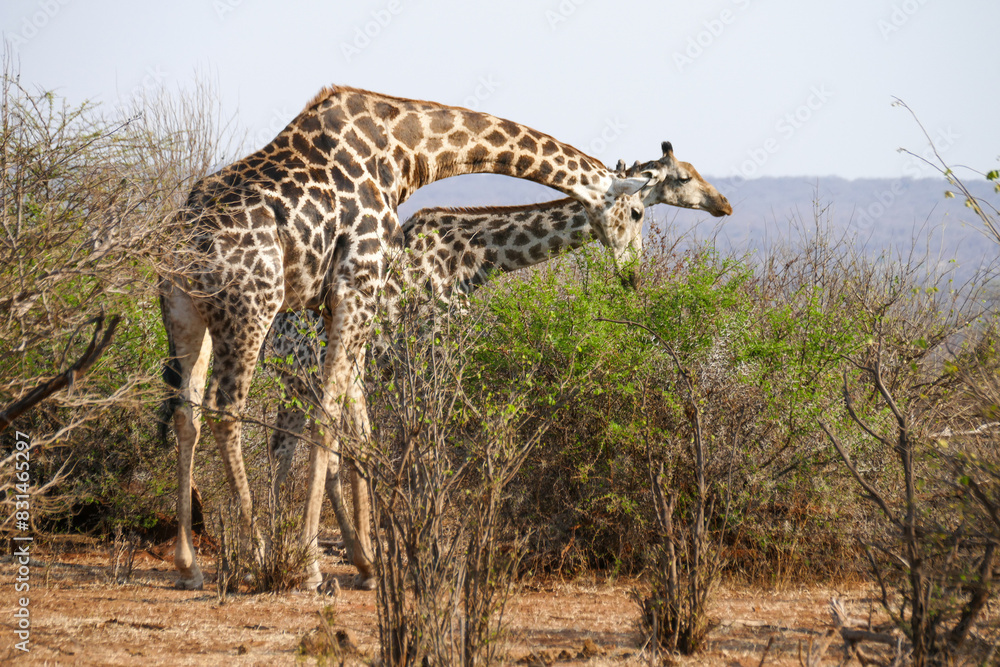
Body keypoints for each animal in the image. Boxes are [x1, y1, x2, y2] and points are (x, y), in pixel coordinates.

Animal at [159, 85, 656, 591]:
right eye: (637, 212)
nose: (633, 276)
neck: (406, 151)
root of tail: (183, 234)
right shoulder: (366, 289)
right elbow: (357, 425)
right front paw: (317, 565)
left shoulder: (344, 303)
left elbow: (360, 431)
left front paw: (368, 561)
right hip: (252, 309)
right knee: (227, 411)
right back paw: (261, 556)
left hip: (187, 314)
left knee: (189, 410)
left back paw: (191, 565)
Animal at [263, 140, 732, 586]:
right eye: (684, 176)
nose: (723, 204)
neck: (475, 259)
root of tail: (275, 328)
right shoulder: (431, 349)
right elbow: (428, 449)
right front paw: (427, 552)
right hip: (305, 375)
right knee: (304, 449)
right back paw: (308, 562)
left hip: (302, 383)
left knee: (293, 451)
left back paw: (298, 555)